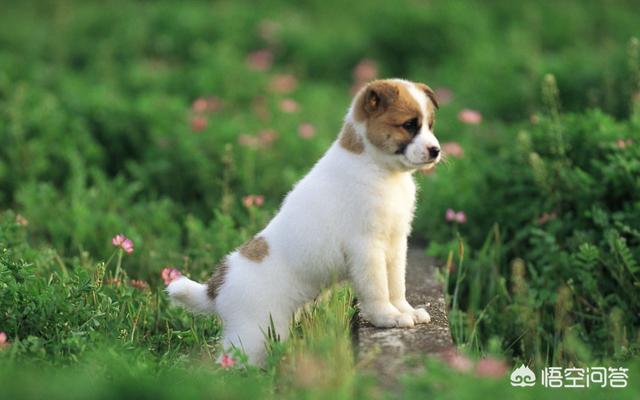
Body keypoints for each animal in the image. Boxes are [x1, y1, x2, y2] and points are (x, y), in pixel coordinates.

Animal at [168, 78, 442, 366]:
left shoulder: (395, 244)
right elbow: (378, 289)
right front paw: (388, 317)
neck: (377, 167)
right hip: (251, 335)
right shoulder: (366, 249)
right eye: (409, 125)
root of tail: (216, 288)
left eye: (430, 125)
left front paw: (405, 311)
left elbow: (396, 285)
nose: (436, 151)